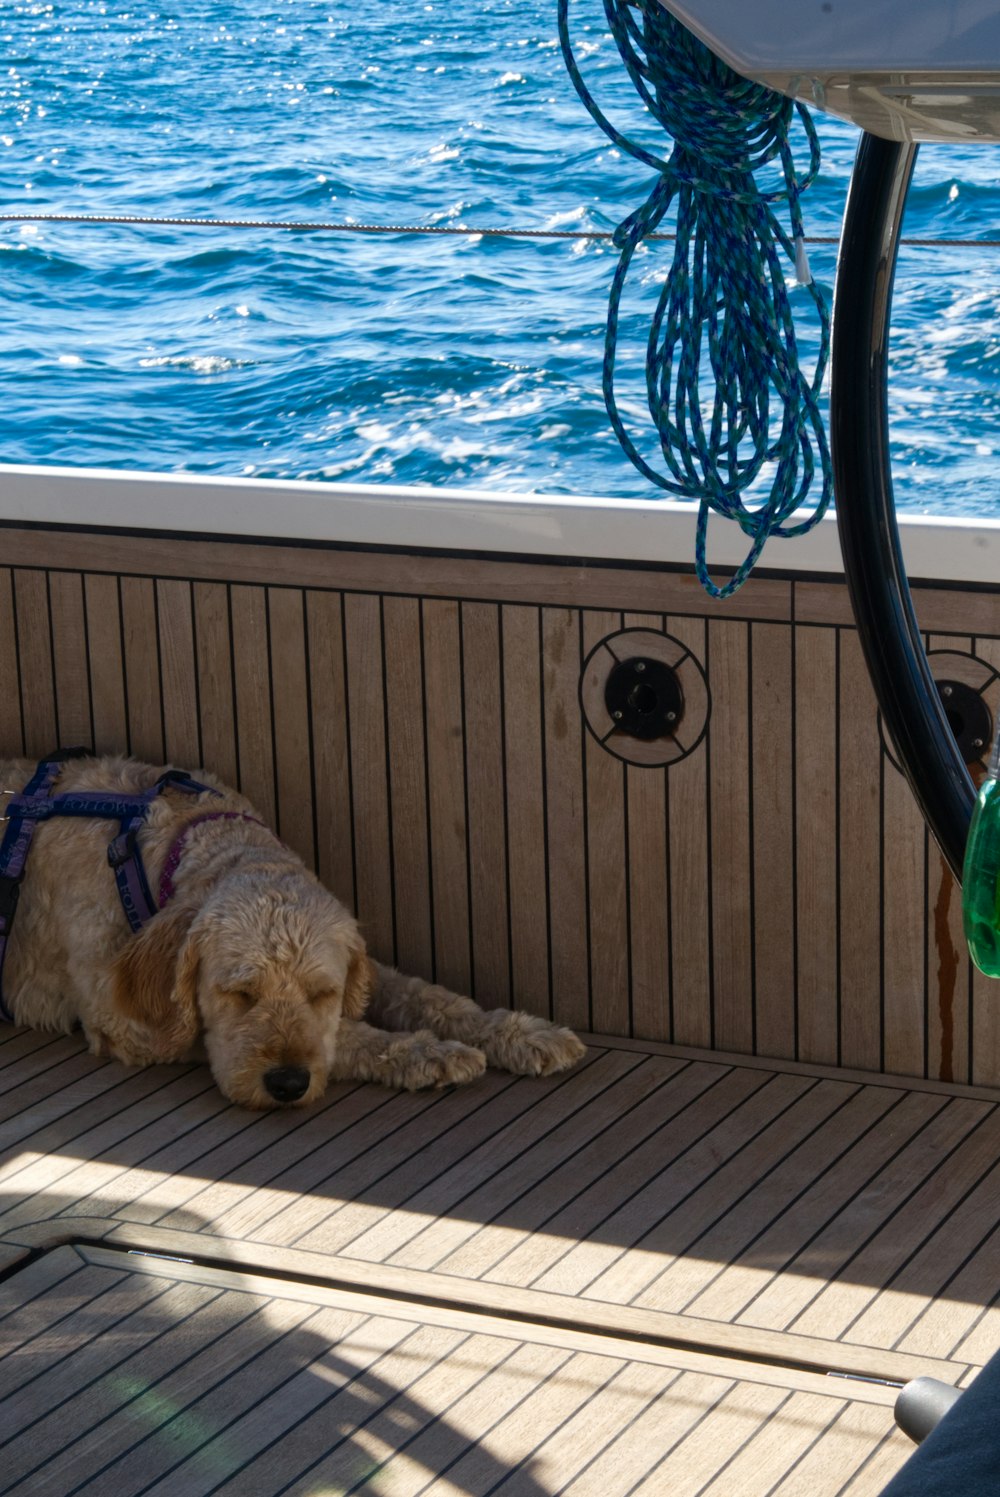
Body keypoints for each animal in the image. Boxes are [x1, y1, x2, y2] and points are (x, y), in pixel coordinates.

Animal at [0, 754, 586, 1107]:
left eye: (320, 992)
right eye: (238, 993)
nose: (286, 1084)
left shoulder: (360, 967)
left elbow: (431, 997)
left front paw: (520, 1033)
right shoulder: (126, 1020)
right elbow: (341, 1037)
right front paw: (428, 1054)